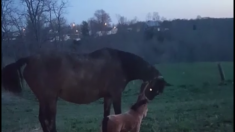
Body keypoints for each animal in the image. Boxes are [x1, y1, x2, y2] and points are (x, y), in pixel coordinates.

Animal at [1, 47, 167, 132]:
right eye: (152, 88)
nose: (144, 102)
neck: (121, 64)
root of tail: (29, 59)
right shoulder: (116, 94)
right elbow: (118, 113)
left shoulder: (107, 96)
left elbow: (106, 116)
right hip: (50, 98)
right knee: (49, 119)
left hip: (45, 99)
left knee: (43, 119)